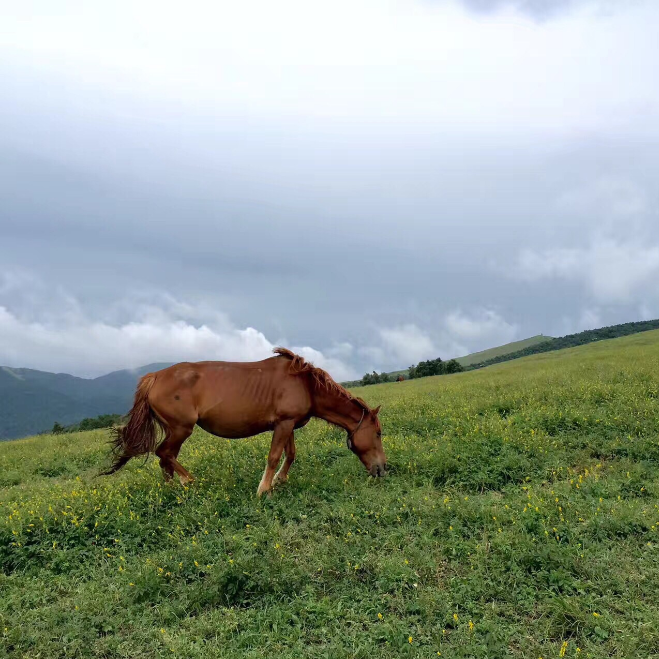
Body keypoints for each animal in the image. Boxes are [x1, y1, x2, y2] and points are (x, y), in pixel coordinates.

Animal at [100, 350, 384, 496]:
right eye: (379, 433)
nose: (383, 469)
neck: (306, 385)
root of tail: (154, 377)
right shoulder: (284, 424)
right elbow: (274, 456)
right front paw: (264, 489)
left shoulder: (287, 424)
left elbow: (290, 454)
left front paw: (279, 481)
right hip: (181, 429)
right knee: (164, 453)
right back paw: (189, 482)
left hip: (175, 430)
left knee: (165, 458)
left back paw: (173, 490)